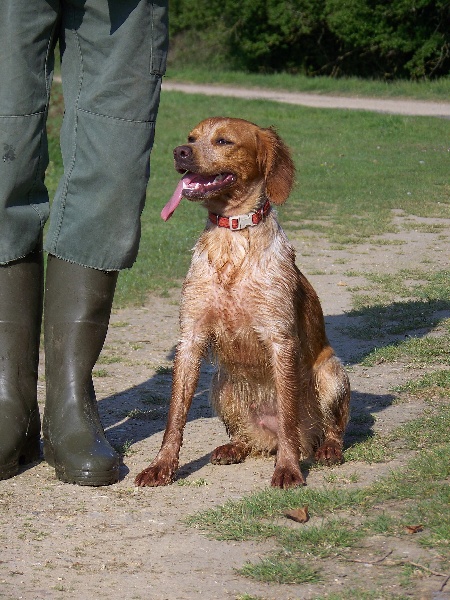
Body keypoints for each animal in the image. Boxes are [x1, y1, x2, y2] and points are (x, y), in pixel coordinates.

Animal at [135, 116, 350, 488]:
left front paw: (288, 469)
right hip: (220, 383)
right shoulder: (190, 339)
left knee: (328, 429)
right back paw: (234, 447)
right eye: (192, 137)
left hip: (331, 372)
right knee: (245, 436)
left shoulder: (280, 339)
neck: (231, 236)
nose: (179, 151)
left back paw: (326, 450)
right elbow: (174, 417)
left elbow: (288, 416)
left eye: (223, 141)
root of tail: (269, 438)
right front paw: (161, 465)